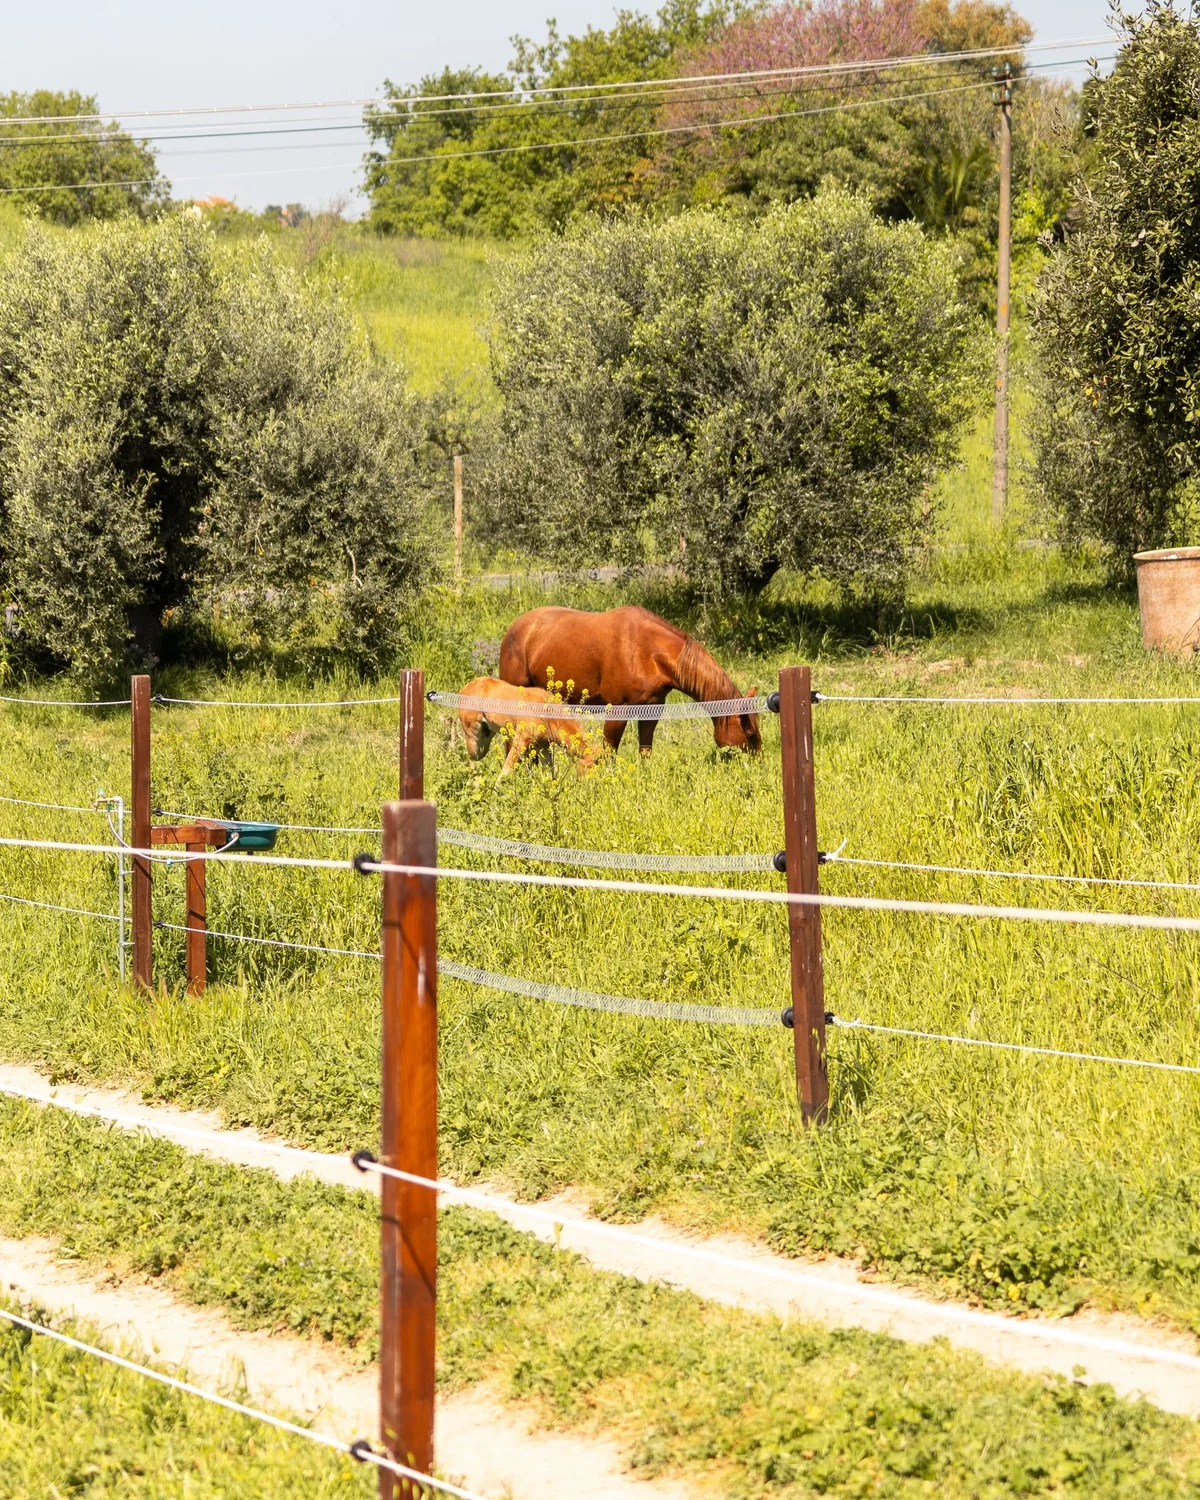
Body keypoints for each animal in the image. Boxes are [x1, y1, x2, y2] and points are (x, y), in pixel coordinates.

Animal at [455, 677, 602, 776]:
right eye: (589, 768)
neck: (547, 713)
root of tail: (465, 688)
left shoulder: (543, 747)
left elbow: (550, 773)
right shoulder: (520, 741)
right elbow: (506, 770)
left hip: (484, 742)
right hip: (473, 738)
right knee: (471, 760)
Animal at [498, 606, 761, 756]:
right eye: (748, 732)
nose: (758, 762)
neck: (649, 652)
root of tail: (515, 628)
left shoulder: (651, 711)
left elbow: (645, 751)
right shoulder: (618, 711)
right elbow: (609, 753)